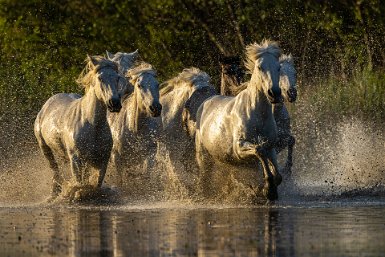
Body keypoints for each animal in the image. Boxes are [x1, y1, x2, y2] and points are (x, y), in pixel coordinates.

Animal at [33, 55, 125, 199]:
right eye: (100, 78)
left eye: (117, 78)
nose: (114, 103)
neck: (93, 125)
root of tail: (46, 105)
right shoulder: (76, 159)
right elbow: (79, 183)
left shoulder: (102, 159)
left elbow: (95, 184)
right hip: (45, 147)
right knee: (55, 170)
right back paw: (54, 194)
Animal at [195, 40, 282, 200]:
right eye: (260, 67)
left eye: (278, 67)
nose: (274, 93)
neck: (257, 114)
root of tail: (206, 102)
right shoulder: (239, 147)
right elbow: (259, 150)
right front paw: (267, 189)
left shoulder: (271, 146)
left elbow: (277, 174)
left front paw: (266, 189)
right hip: (204, 157)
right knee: (204, 179)